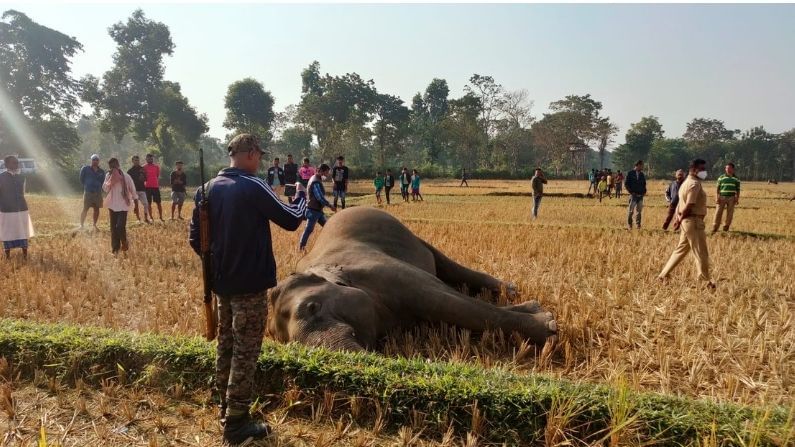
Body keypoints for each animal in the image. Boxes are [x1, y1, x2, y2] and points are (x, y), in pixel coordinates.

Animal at [266, 207, 552, 354]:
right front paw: (539, 313)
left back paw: (510, 290)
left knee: (448, 266)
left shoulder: (386, 272)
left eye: (313, 307)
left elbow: (446, 302)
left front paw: (549, 325)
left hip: (411, 235)